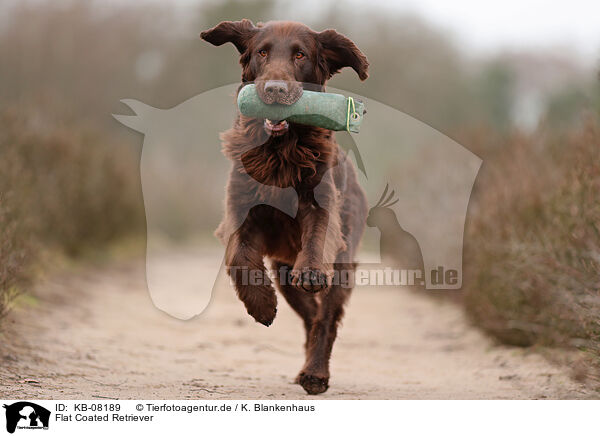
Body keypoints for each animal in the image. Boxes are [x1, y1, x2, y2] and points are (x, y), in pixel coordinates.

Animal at [202, 20, 368, 396]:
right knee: (310, 314)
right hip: (282, 270)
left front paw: (312, 272)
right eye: (262, 51)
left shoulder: (322, 204)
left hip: (342, 262)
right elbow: (240, 258)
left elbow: (318, 235)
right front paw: (261, 305)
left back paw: (315, 374)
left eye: (300, 55)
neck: (280, 151)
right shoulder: (240, 211)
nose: (274, 90)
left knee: (325, 317)